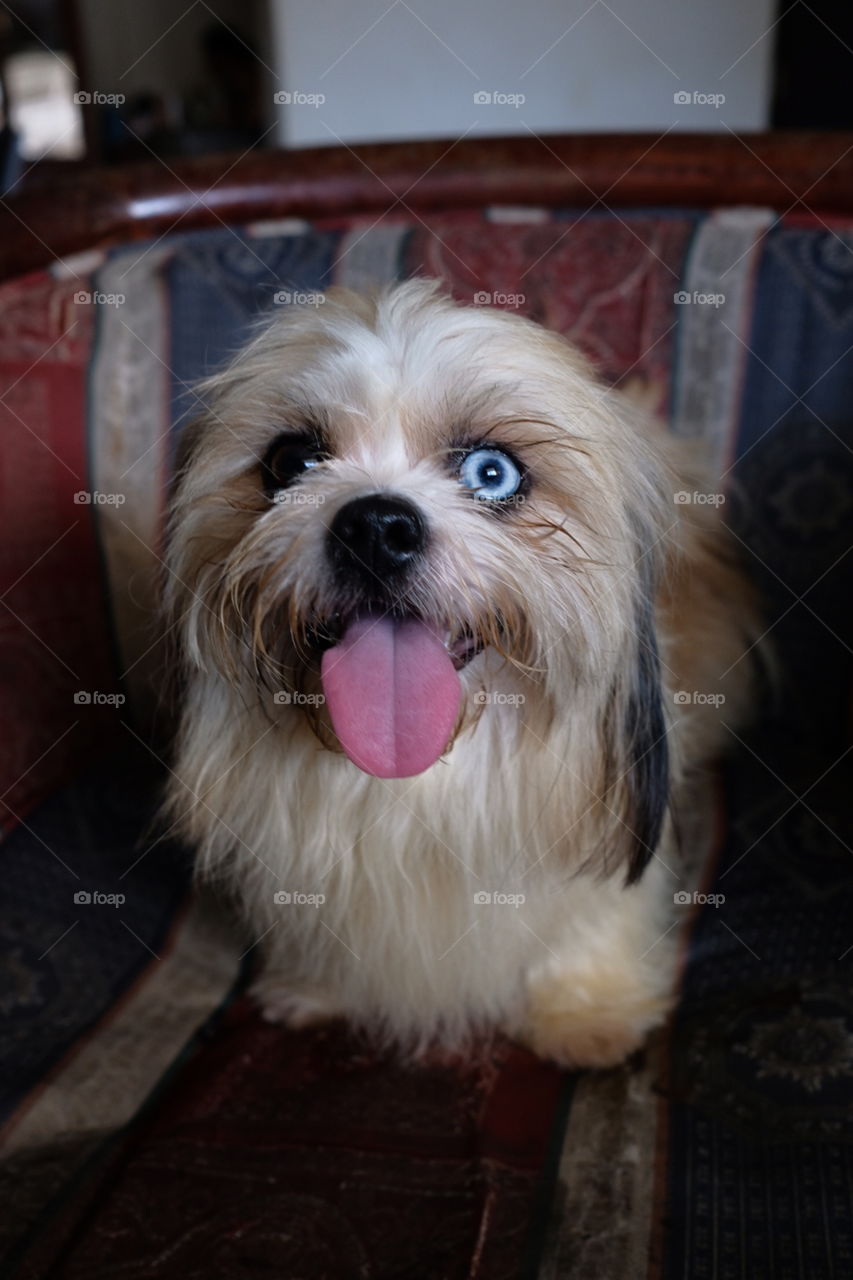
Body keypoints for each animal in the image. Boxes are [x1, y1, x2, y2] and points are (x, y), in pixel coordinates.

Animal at [162, 282, 753, 1070]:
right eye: (289, 462)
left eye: (491, 473)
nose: (375, 526)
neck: (416, 778)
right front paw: (320, 984)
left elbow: (593, 915)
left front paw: (585, 1008)